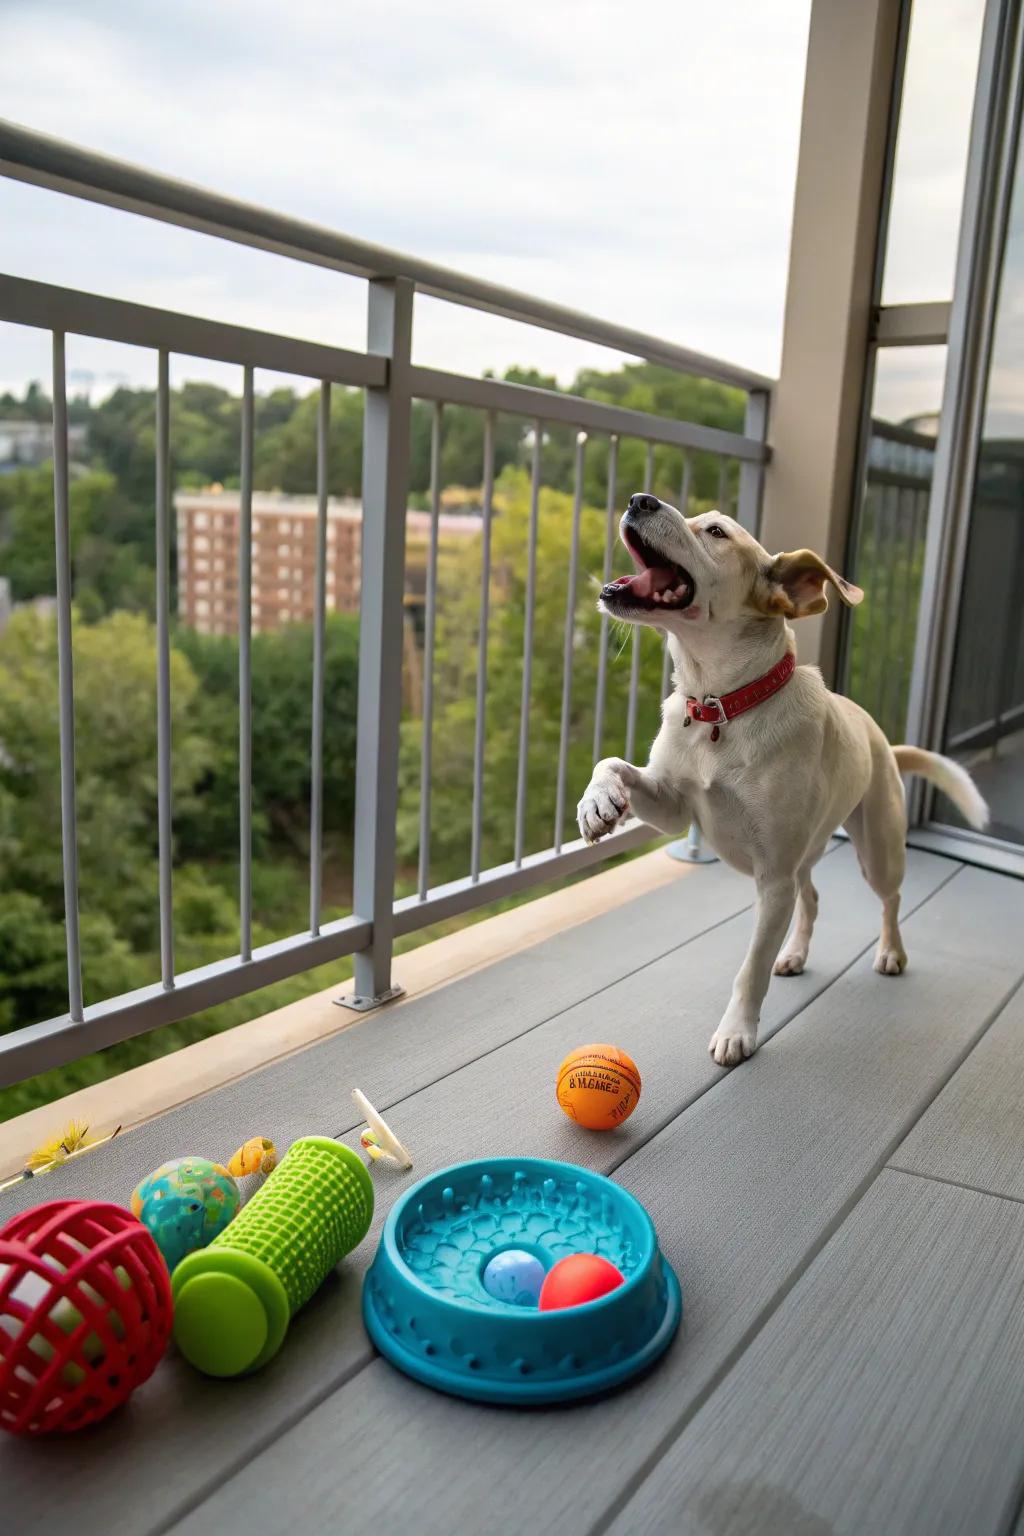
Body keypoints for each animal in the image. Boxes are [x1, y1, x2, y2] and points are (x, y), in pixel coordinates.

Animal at [577, 494, 982, 1069]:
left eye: (717, 532)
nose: (639, 500)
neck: (722, 706)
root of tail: (881, 737)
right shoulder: (677, 807)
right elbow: (612, 764)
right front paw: (598, 803)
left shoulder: (771, 881)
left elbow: (750, 969)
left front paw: (737, 1032)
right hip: (803, 859)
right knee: (811, 898)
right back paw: (794, 953)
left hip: (875, 851)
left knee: (890, 900)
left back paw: (890, 951)